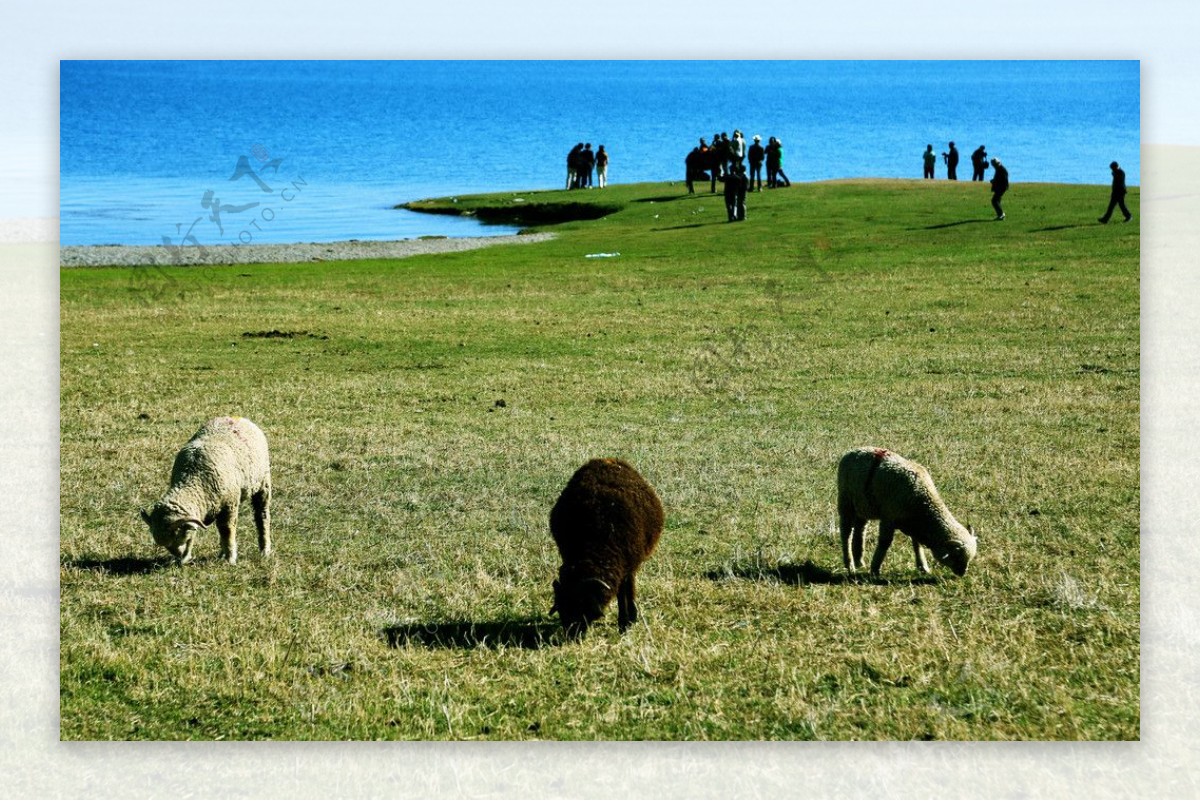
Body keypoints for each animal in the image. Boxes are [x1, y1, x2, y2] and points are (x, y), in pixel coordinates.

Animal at [141, 419, 272, 563]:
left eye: (177, 537)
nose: (180, 558)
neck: (193, 477)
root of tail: (241, 419)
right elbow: (210, 532)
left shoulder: (229, 505)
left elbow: (227, 531)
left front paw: (230, 559)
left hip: (263, 483)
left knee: (262, 517)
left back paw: (265, 550)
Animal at [549, 455, 667, 637]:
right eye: (562, 610)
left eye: (583, 606)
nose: (572, 637)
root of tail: (607, 459)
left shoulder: (628, 565)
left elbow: (625, 592)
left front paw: (626, 622)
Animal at [835, 450, 974, 575]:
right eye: (956, 556)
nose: (962, 574)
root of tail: (851, 452)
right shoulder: (889, 518)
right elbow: (885, 543)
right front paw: (875, 569)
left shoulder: (914, 524)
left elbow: (917, 544)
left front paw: (923, 567)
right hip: (846, 502)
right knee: (846, 533)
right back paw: (850, 565)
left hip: (863, 506)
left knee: (860, 530)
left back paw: (859, 561)